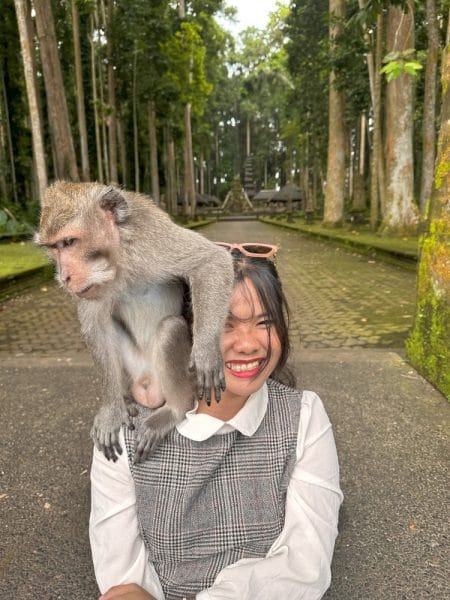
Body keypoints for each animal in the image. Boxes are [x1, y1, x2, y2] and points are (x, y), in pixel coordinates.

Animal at [36, 183, 234, 464]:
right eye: (53, 248)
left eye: (69, 242)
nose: (64, 277)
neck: (119, 257)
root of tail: (148, 384)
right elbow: (96, 328)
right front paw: (111, 409)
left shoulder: (151, 238)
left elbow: (211, 261)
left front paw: (206, 351)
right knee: (110, 328)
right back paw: (125, 400)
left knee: (170, 328)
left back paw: (175, 410)